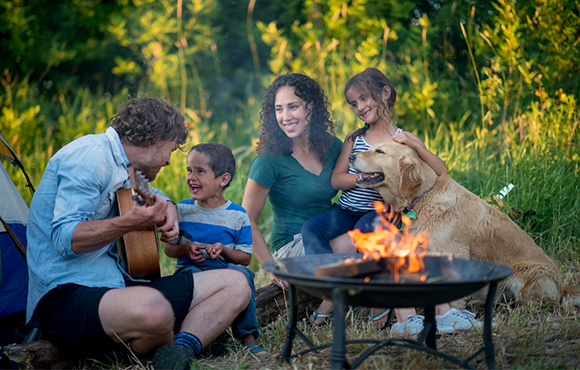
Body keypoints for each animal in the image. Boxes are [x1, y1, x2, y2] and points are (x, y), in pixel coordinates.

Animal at [348, 139, 580, 306]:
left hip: (528, 279)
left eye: (380, 152)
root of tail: (562, 287)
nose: (350, 156)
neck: (424, 196)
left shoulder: (453, 255)